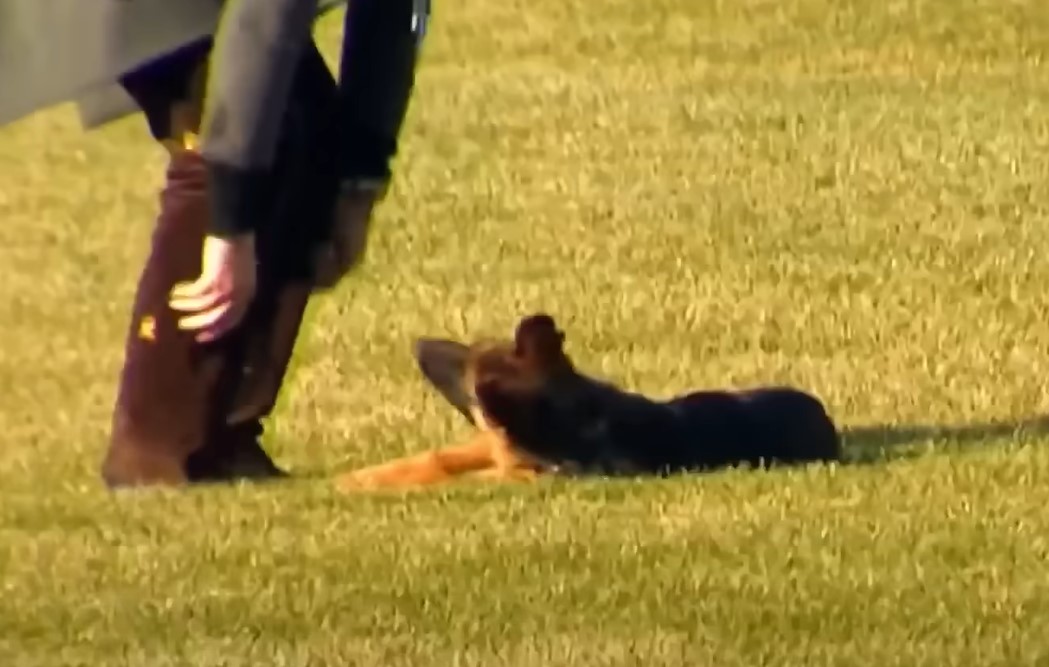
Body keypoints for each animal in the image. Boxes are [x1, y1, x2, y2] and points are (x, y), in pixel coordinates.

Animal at [335, 313, 842, 491]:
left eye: (466, 365)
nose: (417, 343)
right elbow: (438, 458)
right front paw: (364, 477)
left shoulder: (527, 472)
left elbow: (460, 475)